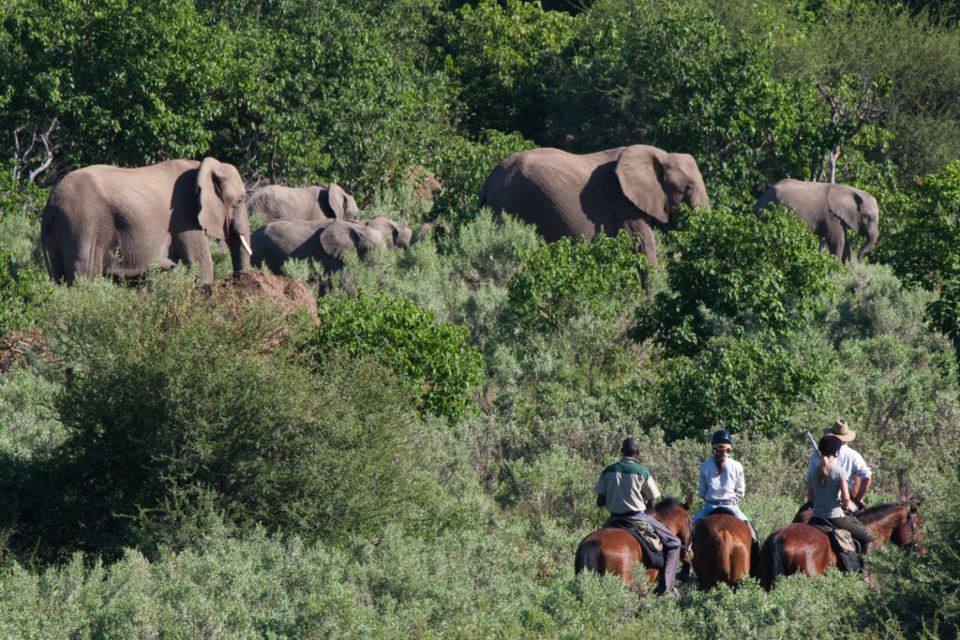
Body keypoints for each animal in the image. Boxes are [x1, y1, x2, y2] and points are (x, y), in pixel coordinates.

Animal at [40, 156, 251, 284]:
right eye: (240, 200)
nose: (240, 280)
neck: (200, 168)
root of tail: (50, 204)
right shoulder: (184, 216)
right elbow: (201, 263)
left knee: (59, 275)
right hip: (83, 224)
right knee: (85, 270)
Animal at [752, 179, 880, 262]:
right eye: (870, 218)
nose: (859, 258)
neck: (850, 190)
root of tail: (758, 202)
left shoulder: (839, 217)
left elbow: (845, 242)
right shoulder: (831, 215)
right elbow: (838, 241)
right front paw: (836, 267)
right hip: (769, 211)